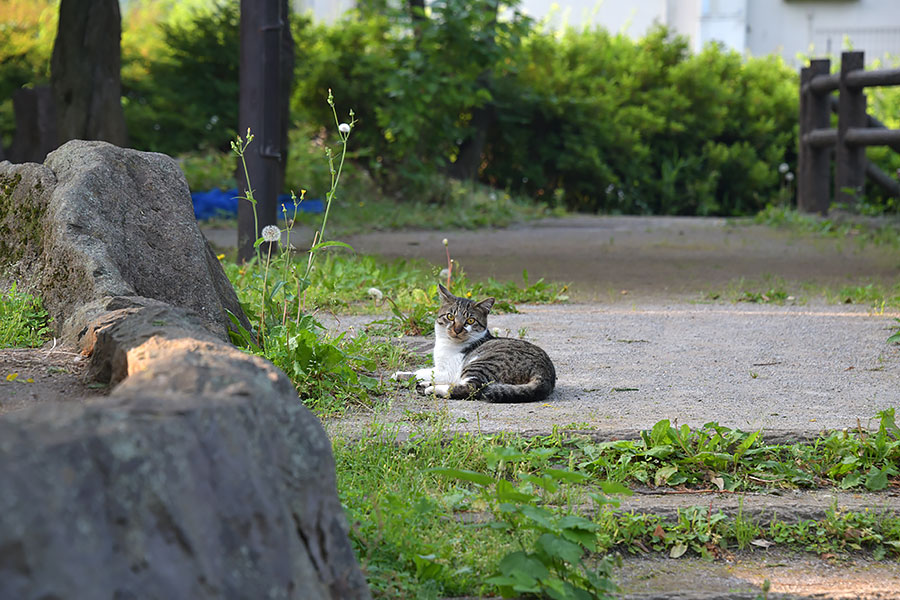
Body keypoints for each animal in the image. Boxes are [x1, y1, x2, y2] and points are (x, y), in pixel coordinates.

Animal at [392, 284, 556, 404]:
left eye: (470, 320)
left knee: (469, 388)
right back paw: (426, 385)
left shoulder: (449, 370)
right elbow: (424, 372)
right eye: (450, 316)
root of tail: (546, 374)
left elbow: (421, 372)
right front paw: (401, 374)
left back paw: (431, 389)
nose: (457, 329)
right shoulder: (441, 369)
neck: (447, 344)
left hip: (482, 364)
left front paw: (400, 375)